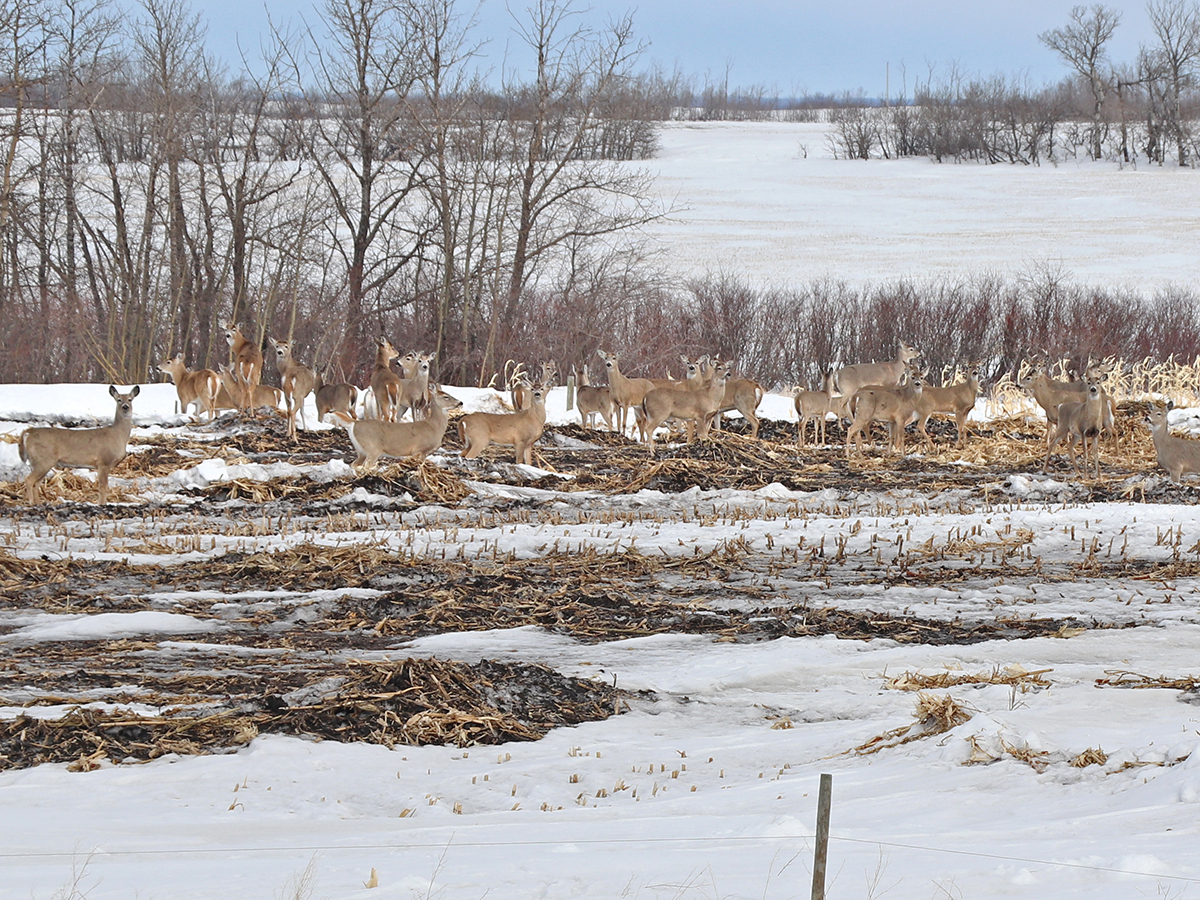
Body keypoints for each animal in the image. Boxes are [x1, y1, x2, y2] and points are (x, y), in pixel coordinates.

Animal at [326, 387, 462, 468]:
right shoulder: (420, 449)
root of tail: (354, 423)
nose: (460, 402)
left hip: (360, 450)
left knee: (354, 464)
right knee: (366, 465)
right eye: (446, 396)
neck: (434, 426)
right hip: (372, 448)